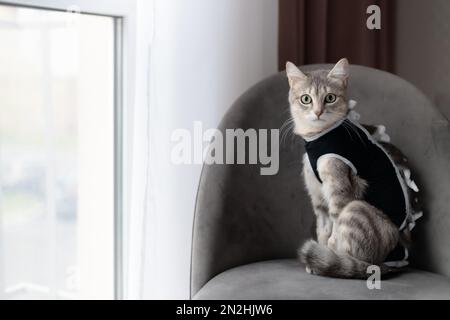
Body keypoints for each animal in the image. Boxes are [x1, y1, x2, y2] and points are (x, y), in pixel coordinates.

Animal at [286, 58, 414, 278]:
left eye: (330, 98)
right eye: (306, 99)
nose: (318, 112)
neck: (319, 136)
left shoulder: (338, 188)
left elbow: (334, 231)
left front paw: (327, 256)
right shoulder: (319, 199)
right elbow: (323, 231)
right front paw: (320, 257)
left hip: (357, 209)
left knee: (358, 260)